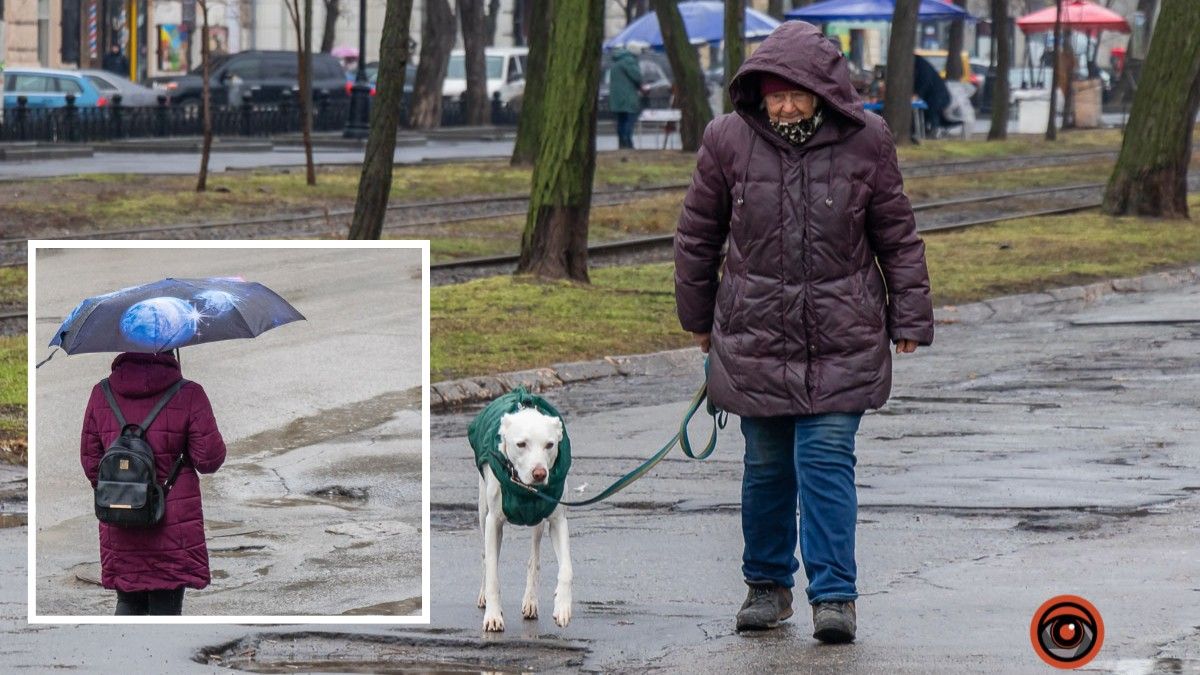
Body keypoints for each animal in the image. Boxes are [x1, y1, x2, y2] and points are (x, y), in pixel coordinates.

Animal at [475, 403, 573, 629]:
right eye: (521, 444)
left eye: (550, 445)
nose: (540, 474)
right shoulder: (493, 522)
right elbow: (492, 572)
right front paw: (493, 616)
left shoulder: (558, 521)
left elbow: (567, 569)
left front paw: (563, 606)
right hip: (482, 510)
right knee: (485, 557)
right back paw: (484, 595)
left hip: (538, 521)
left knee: (533, 559)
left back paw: (531, 601)